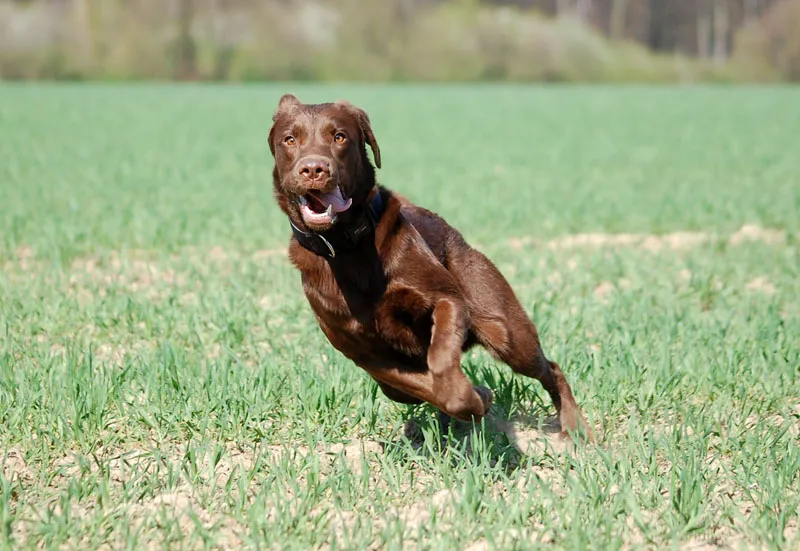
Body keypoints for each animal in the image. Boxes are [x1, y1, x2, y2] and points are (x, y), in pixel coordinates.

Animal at [268, 92, 592, 442]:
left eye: (339, 137)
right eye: (290, 139)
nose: (314, 168)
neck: (345, 248)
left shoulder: (447, 300)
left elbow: (440, 361)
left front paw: (472, 398)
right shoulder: (365, 354)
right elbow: (417, 386)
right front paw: (478, 397)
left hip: (505, 328)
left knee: (549, 367)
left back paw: (576, 427)